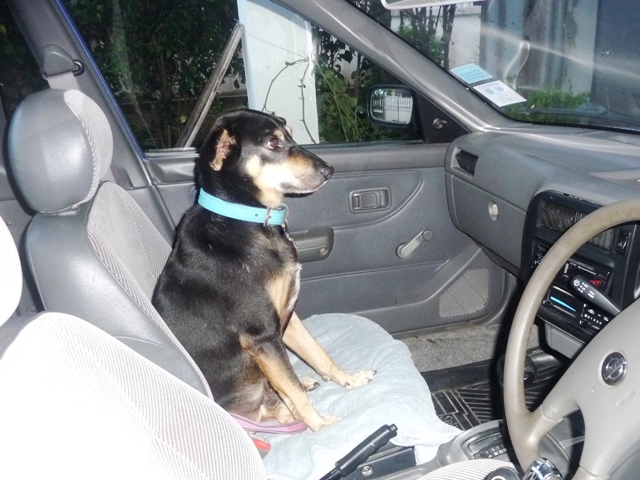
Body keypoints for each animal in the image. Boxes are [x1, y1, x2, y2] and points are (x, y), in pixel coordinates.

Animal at [152, 109, 375, 431]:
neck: (249, 218)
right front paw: (320, 425)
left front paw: (349, 380)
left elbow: (319, 354)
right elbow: (293, 390)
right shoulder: (262, 337)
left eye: (291, 135)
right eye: (272, 142)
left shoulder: (285, 318)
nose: (328, 170)